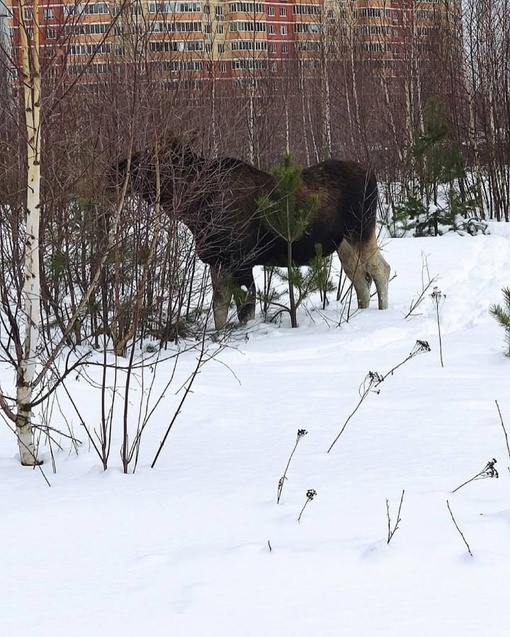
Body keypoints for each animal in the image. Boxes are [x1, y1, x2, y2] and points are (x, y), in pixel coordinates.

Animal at [111, 139, 390, 328]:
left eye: (149, 158)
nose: (116, 167)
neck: (195, 211)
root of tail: (373, 175)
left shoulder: (240, 263)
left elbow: (245, 310)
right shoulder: (218, 262)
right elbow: (220, 310)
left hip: (361, 230)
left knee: (379, 269)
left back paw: (382, 311)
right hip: (343, 243)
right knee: (360, 277)